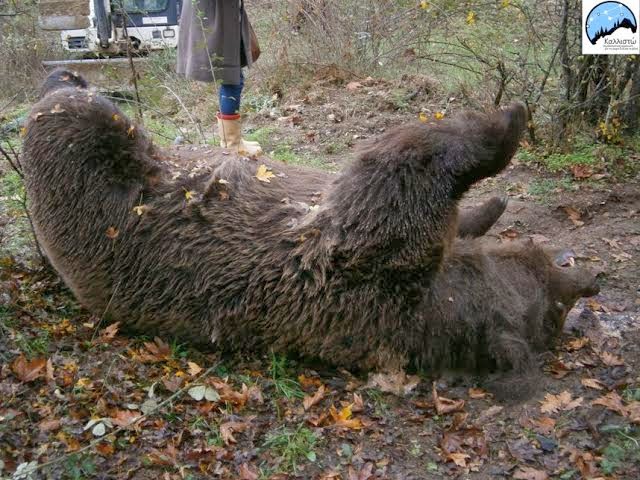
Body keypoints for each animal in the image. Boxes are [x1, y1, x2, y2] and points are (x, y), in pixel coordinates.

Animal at [21, 70, 600, 394]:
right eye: (558, 298)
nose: (590, 280)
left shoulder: (369, 255)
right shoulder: (378, 235)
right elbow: (413, 159)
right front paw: (508, 133)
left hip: (85, 178)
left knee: (71, 115)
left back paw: (67, 82)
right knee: (81, 110)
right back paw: (70, 77)